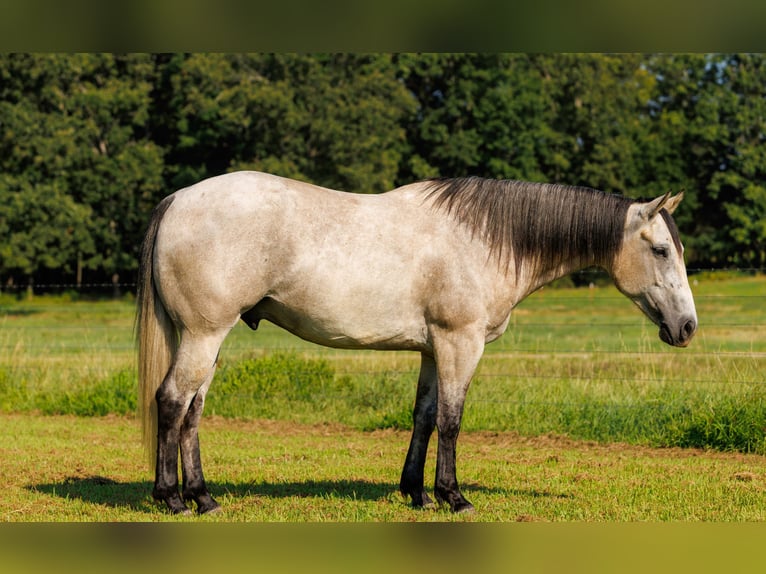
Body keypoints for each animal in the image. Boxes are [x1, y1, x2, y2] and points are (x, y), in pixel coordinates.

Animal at [136, 171, 697, 515]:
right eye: (662, 250)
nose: (688, 327)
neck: (484, 240)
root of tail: (177, 200)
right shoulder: (459, 344)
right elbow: (451, 420)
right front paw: (453, 496)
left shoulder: (432, 349)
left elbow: (424, 417)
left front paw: (416, 493)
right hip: (204, 335)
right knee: (172, 402)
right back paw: (172, 498)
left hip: (208, 340)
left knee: (192, 411)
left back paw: (204, 497)